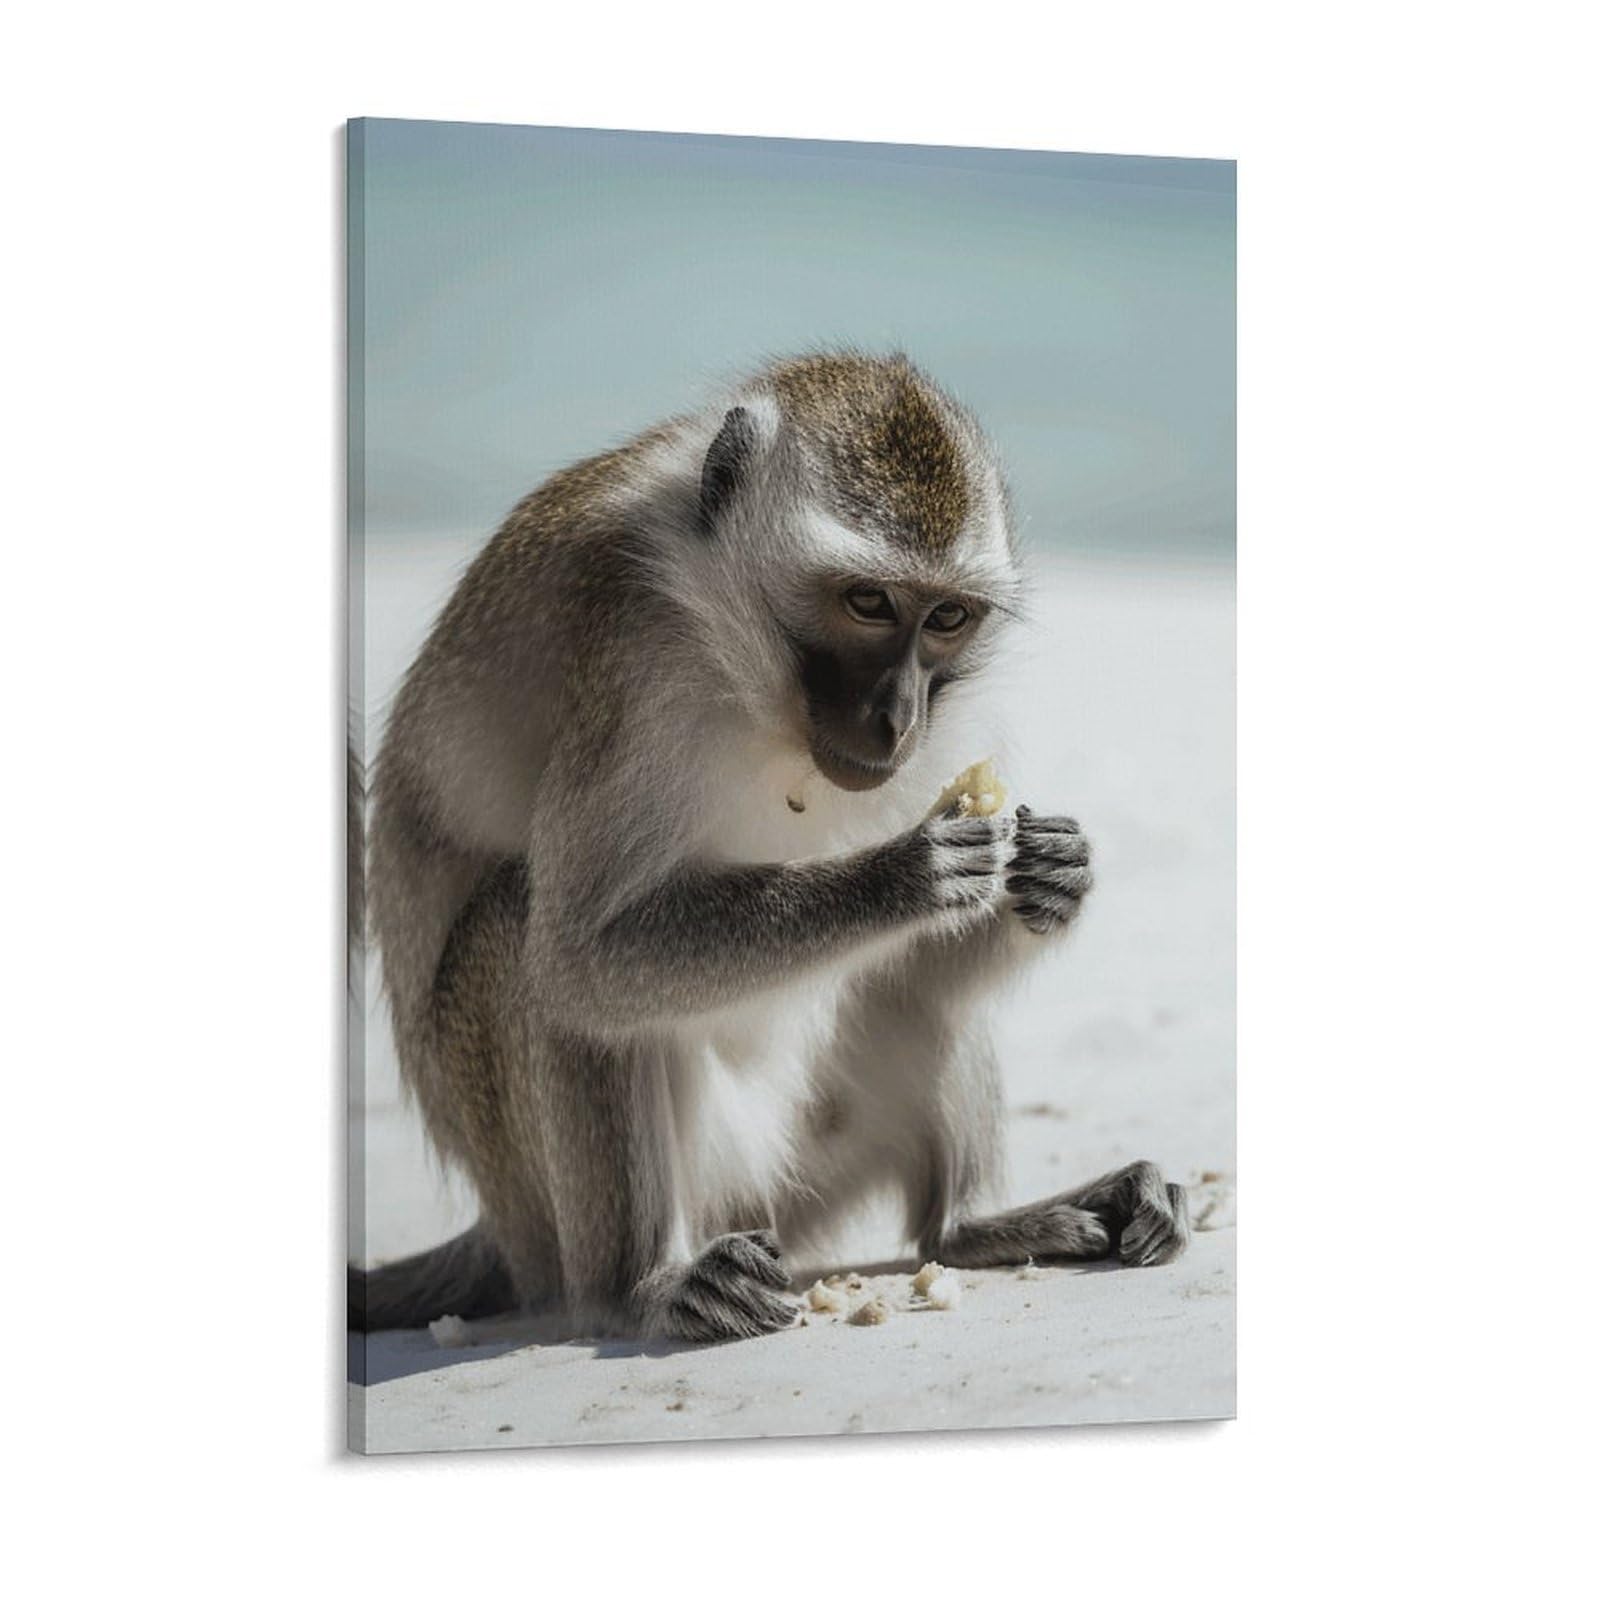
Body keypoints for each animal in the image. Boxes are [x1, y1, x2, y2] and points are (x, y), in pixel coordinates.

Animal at [350, 350, 1189, 1342]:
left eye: (947, 618)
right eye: (868, 602)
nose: (898, 715)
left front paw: (1059, 875)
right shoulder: (635, 674)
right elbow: (577, 959)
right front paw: (899, 877)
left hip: (810, 1173)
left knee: (912, 995)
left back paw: (975, 1224)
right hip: (561, 1197)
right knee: (525, 939)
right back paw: (641, 1287)